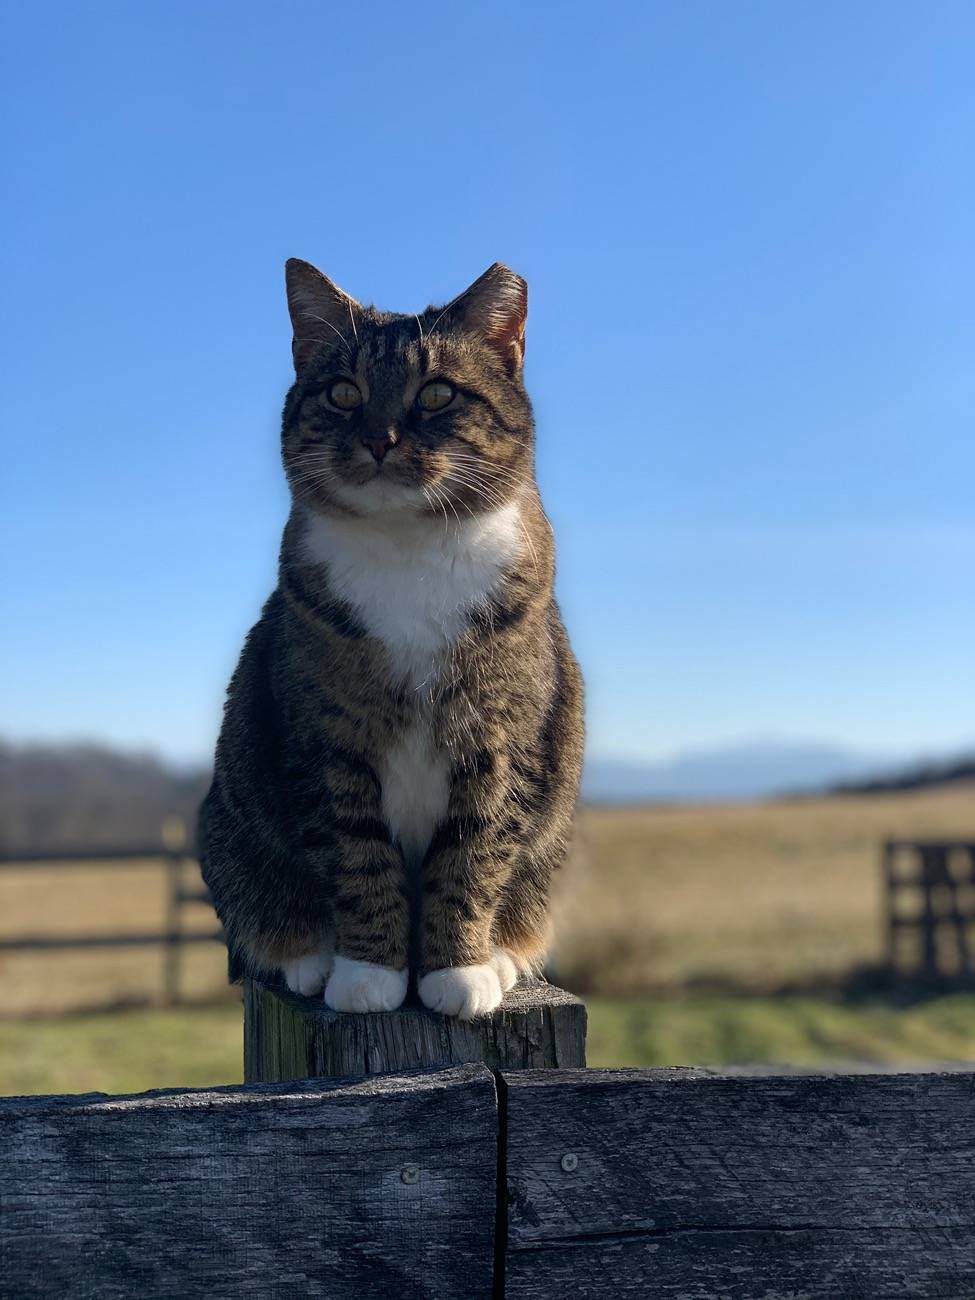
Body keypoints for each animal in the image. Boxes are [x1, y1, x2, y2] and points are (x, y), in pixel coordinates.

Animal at [196, 258, 579, 1019]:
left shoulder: (500, 737)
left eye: (436, 393)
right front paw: (368, 975)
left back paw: (501, 957)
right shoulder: (327, 739)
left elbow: (472, 853)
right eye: (343, 392)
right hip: (229, 832)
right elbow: (356, 854)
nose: (379, 438)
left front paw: (456, 972)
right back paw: (309, 959)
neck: (410, 550)